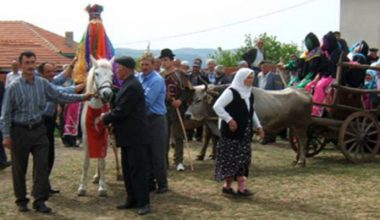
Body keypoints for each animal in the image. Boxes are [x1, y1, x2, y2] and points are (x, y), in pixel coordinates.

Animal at [76, 56, 113, 196]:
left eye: (111, 75)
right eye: (96, 74)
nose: (107, 94)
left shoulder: (105, 138)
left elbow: (102, 162)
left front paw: (102, 187)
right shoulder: (86, 138)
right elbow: (86, 163)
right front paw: (82, 187)